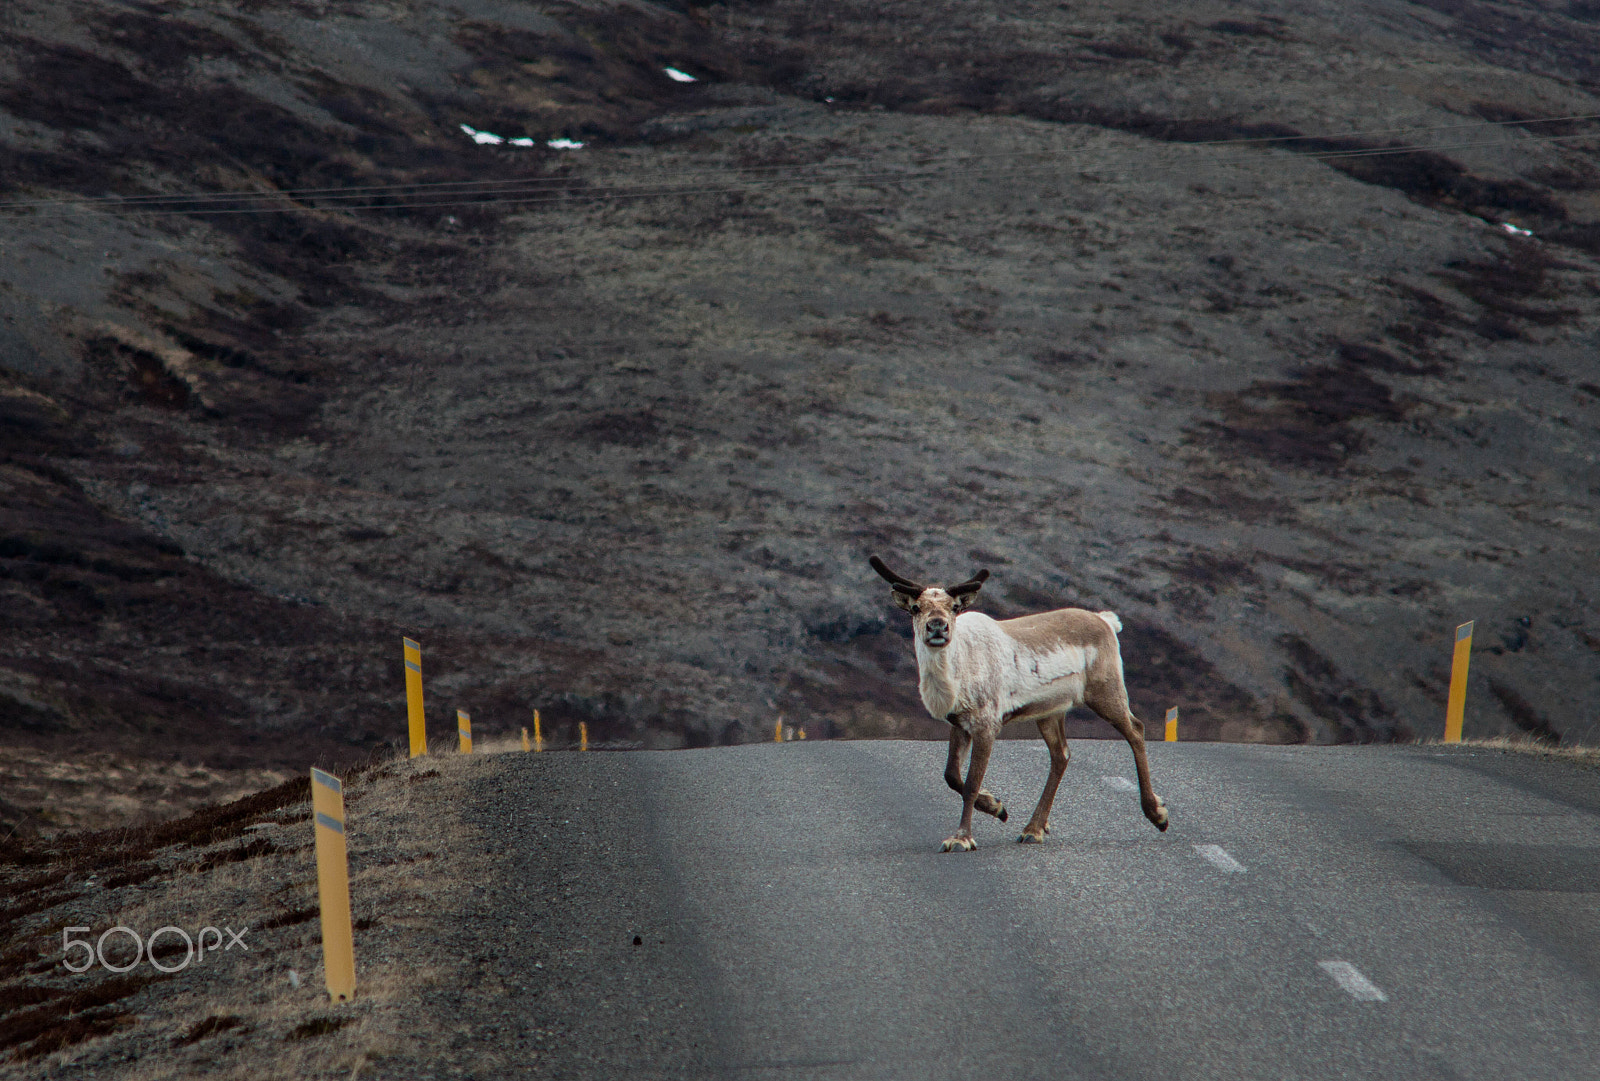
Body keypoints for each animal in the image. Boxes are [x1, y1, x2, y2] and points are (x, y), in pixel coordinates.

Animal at [869, 555, 1169, 852]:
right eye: (916, 608)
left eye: (954, 607)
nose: (937, 626)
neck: (955, 677)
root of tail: (1106, 621)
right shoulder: (960, 722)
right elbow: (951, 776)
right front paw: (996, 806)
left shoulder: (987, 723)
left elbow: (971, 783)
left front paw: (962, 838)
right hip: (1051, 711)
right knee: (1061, 754)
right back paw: (1034, 829)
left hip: (1105, 689)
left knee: (1135, 730)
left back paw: (1157, 813)